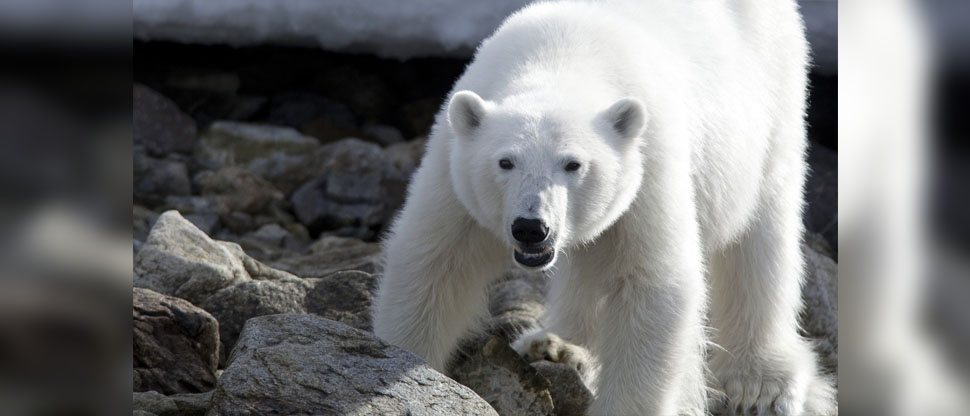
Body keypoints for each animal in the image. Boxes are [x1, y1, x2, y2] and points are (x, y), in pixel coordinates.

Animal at [373, 0, 835, 414]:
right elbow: (433, 263)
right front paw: (408, 360)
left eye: (573, 164)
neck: (562, 56)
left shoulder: (647, 165)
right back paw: (554, 344)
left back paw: (759, 383)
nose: (531, 228)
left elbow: (651, 285)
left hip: (772, 93)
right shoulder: (454, 167)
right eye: (505, 162)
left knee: (761, 232)